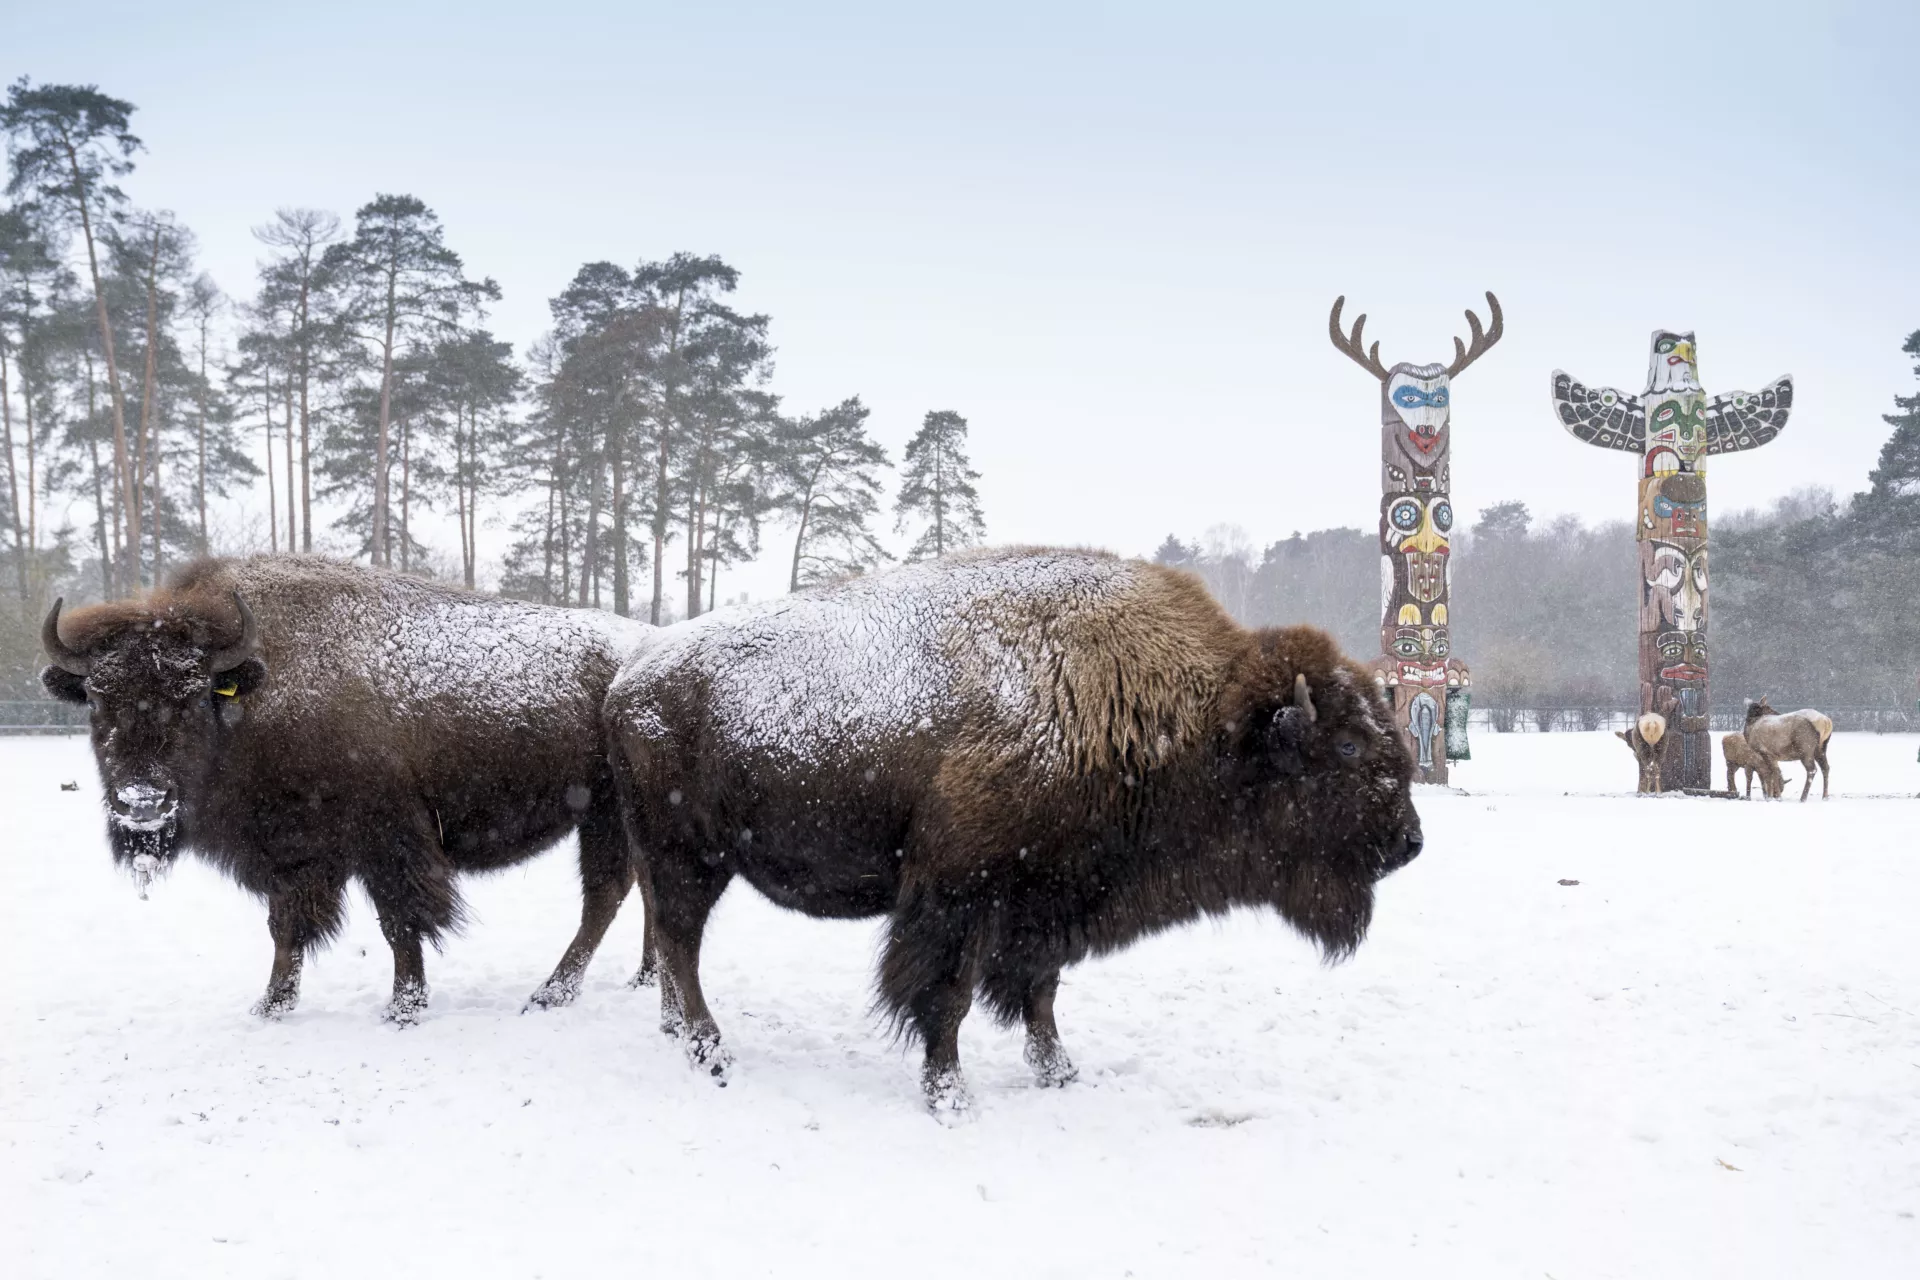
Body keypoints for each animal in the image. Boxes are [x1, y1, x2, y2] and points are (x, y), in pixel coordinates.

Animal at [42, 556, 656, 1022]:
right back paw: (643, 978)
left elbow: (399, 922)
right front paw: (271, 1006)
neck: (257, 691)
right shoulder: (293, 854)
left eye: (193, 695)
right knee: (643, 890)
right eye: (97, 698)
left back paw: (551, 994)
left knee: (605, 895)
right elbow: (286, 928)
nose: (141, 802)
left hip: (605, 814)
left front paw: (403, 1009)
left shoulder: (385, 841)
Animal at [605, 547, 1422, 1119]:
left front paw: (1059, 1072)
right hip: (689, 854)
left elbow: (1041, 992)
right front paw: (951, 1099)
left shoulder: (1048, 900)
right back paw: (710, 1052)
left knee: (672, 942)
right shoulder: (959, 898)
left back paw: (679, 1035)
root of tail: (629, 678)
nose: (1411, 842)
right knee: (680, 940)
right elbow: (948, 1000)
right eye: (1348, 746)